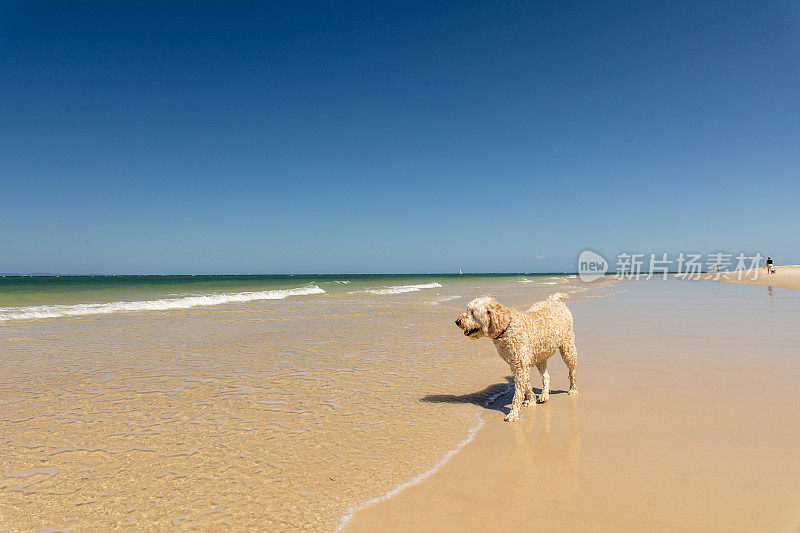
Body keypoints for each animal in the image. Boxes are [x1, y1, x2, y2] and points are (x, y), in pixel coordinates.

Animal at [456, 294, 576, 422]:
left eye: (473, 312)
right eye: (467, 310)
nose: (457, 321)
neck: (506, 326)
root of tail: (554, 300)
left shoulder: (521, 366)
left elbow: (518, 393)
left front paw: (513, 413)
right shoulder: (516, 365)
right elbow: (526, 386)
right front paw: (532, 400)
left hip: (568, 348)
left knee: (572, 371)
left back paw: (573, 389)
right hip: (540, 355)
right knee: (546, 376)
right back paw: (544, 395)